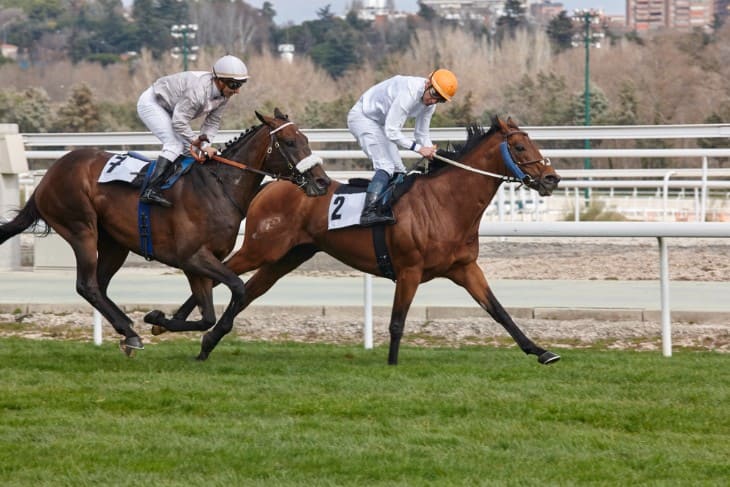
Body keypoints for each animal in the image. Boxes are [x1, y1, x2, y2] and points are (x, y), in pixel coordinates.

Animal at [0, 109, 330, 354]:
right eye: (289, 141)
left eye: (305, 138)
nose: (323, 182)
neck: (218, 187)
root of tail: (48, 176)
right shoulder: (192, 257)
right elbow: (236, 288)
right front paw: (158, 319)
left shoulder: (201, 263)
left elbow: (208, 314)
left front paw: (160, 320)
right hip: (81, 228)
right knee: (87, 285)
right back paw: (130, 331)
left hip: (115, 243)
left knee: (99, 285)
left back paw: (127, 330)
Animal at [149, 116, 564, 364]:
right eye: (521, 147)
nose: (552, 179)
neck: (445, 203)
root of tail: (276, 183)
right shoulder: (409, 270)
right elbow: (397, 322)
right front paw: (392, 365)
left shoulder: (464, 268)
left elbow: (499, 311)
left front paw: (541, 351)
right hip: (261, 247)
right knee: (221, 271)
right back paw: (164, 322)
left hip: (288, 257)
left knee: (247, 291)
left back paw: (207, 340)